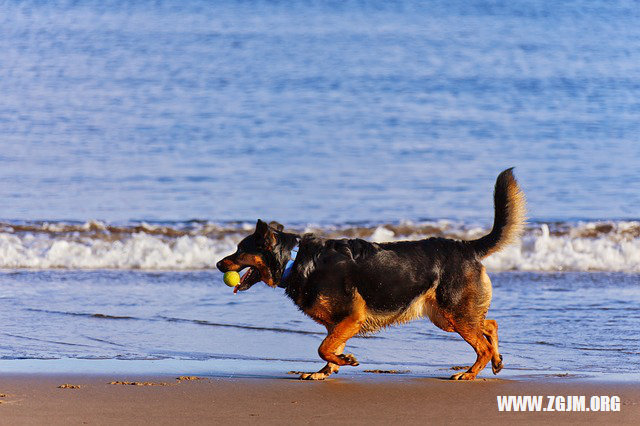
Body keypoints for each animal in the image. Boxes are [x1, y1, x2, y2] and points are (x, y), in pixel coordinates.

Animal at [216, 168, 524, 382]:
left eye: (240, 249)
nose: (218, 264)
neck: (295, 259)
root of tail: (465, 246)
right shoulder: (339, 323)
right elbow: (329, 346)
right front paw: (325, 370)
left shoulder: (351, 318)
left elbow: (324, 347)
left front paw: (344, 361)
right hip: (446, 316)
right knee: (490, 325)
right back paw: (495, 361)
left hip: (453, 314)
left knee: (482, 343)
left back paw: (470, 373)